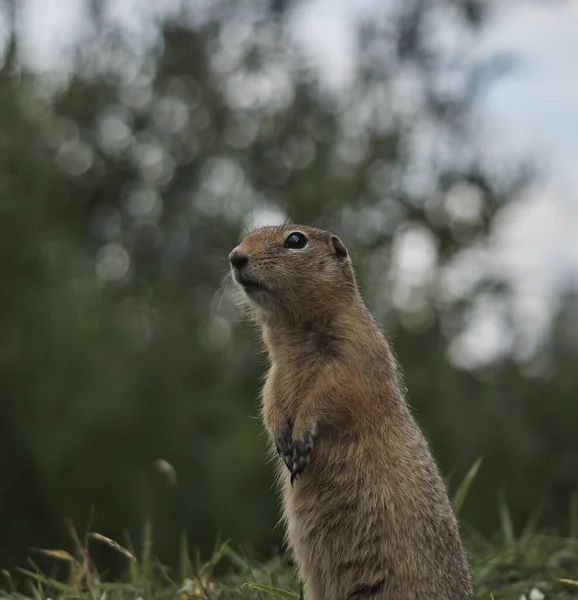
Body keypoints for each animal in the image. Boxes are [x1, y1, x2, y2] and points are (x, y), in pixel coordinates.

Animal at [227, 225, 474, 600]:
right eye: (248, 234)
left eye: (295, 240)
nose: (235, 257)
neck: (294, 334)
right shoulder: (274, 373)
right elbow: (270, 399)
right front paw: (281, 437)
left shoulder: (354, 352)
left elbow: (333, 392)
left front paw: (301, 436)